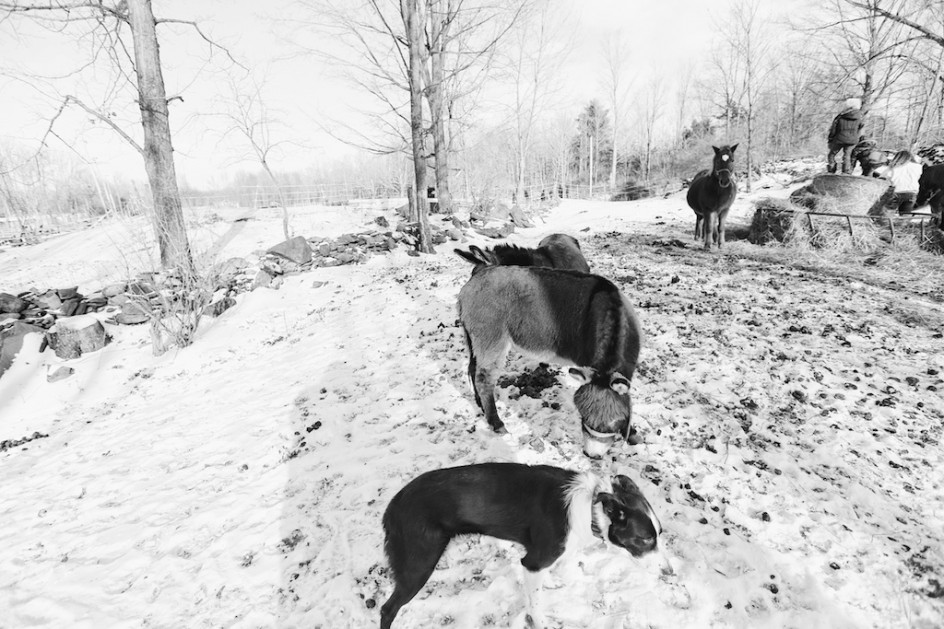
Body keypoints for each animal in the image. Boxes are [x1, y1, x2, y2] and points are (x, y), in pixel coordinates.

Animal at [380, 462, 660, 628]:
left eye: (659, 534)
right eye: (646, 539)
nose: (667, 572)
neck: (592, 507)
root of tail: (392, 506)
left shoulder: (539, 560)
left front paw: (550, 582)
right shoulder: (534, 560)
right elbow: (535, 601)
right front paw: (541, 621)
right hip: (418, 566)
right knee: (387, 609)